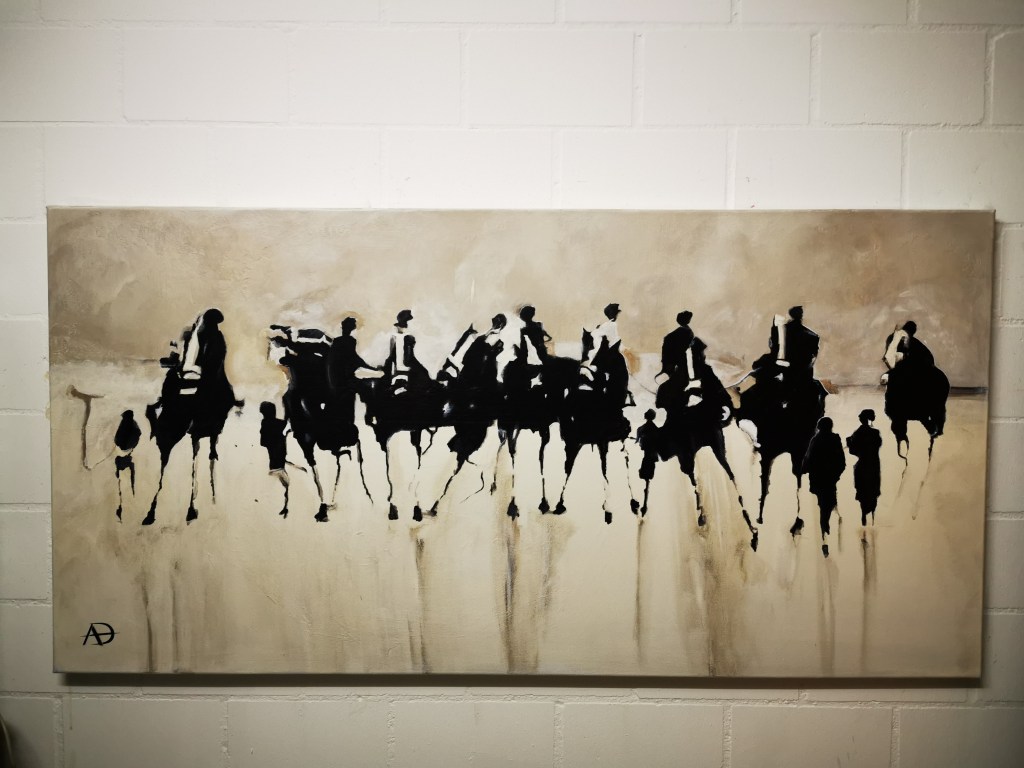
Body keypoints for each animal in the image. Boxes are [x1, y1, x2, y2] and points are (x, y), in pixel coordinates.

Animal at [142, 310, 240, 526]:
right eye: (185, 339)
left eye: (211, 341)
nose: (187, 376)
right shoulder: (196, 432)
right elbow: (197, 463)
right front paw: (193, 508)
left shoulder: (212, 430)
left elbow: (210, 460)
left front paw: (211, 500)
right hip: (173, 431)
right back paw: (153, 511)